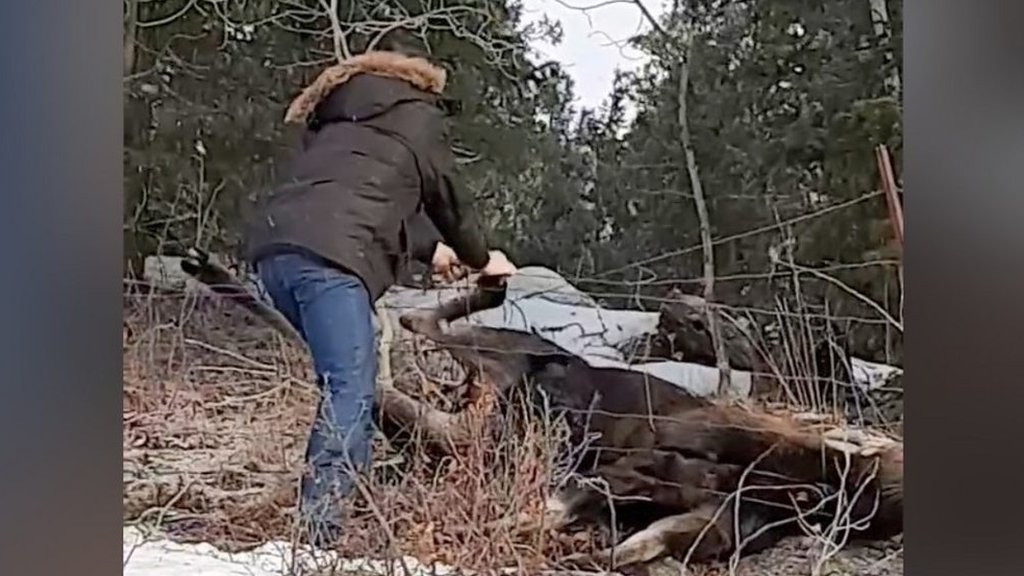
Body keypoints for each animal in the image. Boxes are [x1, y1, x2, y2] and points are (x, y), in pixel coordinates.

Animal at [178, 253, 905, 569]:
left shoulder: (692, 519)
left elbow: (616, 541)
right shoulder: (630, 471)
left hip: (466, 410)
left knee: (379, 361)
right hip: (504, 358)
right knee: (410, 327)